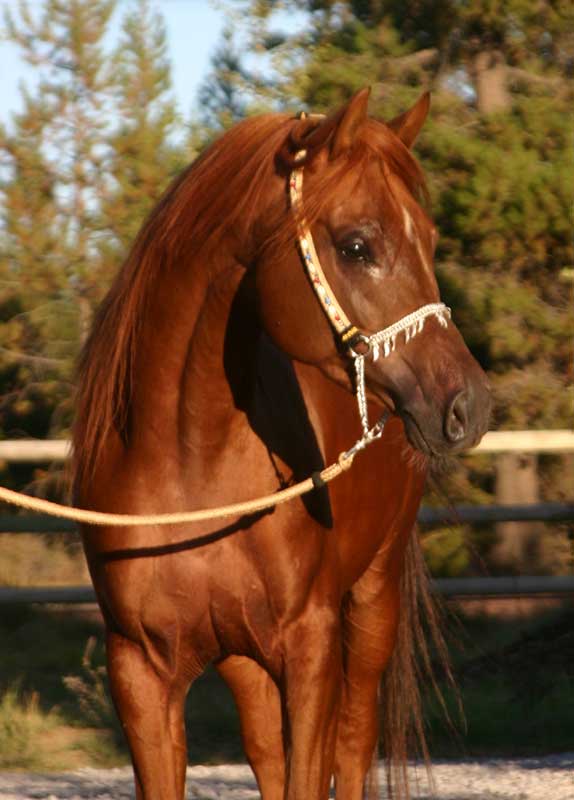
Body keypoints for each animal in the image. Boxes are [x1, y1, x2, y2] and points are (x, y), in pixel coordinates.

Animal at [73, 87, 491, 800]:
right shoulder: (140, 673)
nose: (471, 404)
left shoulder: (310, 651)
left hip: (372, 602)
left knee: (352, 744)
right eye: (356, 245)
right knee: (267, 749)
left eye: (431, 241)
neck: (190, 468)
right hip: (242, 659)